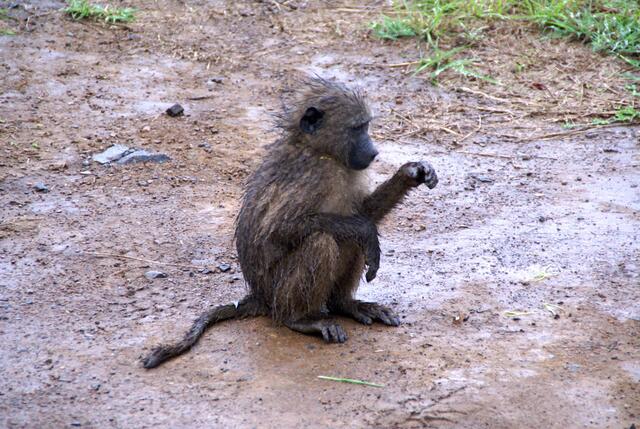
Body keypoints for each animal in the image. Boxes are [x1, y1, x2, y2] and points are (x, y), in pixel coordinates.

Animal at [142, 77, 438, 369]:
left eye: (366, 126)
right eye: (357, 128)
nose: (374, 152)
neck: (320, 151)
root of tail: (260, 297)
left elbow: (365, 212)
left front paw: (411, 173)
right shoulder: (311, 175)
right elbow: (278, 230)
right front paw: (366, 231)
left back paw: (345, 305)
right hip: (277, 291)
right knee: (321, 241)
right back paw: (300, 320)